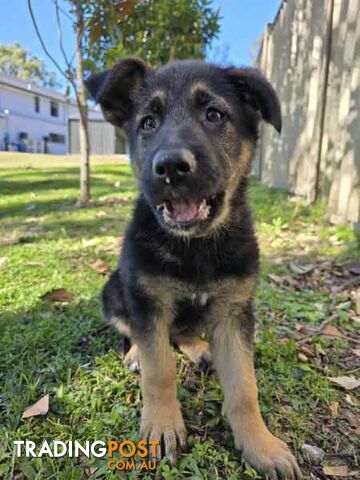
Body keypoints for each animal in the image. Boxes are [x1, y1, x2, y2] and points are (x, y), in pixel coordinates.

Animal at [86, 58, 300, 478]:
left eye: (214, 115)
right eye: (148, 122)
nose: (170, 167)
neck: (195, 247)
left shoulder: (234, 313)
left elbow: (244, 388)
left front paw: (261, 445)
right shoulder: (147, 302)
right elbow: (159, 372)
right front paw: (162, 425)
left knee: (184, 332)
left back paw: (200, 348)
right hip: (115, 289)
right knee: (133, 332)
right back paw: (135, 354)